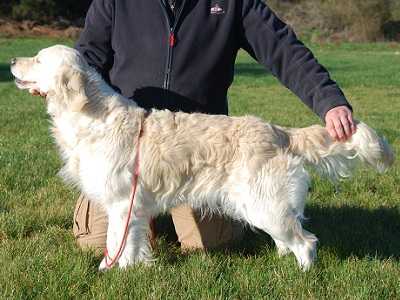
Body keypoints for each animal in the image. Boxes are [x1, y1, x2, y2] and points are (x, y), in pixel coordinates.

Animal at [10, 45, 394, 272]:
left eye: (39, 59)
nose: (12, 60)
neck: (92, 115)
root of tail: (279, 131)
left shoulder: (121, 203)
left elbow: (116, 242)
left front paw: (115, 272)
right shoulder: (132, 207)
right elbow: (127, 243)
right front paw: (126, 269)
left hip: (264, 205)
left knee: (307, 242)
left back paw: (303, 276)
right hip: (263, 206)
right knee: (289, 240)